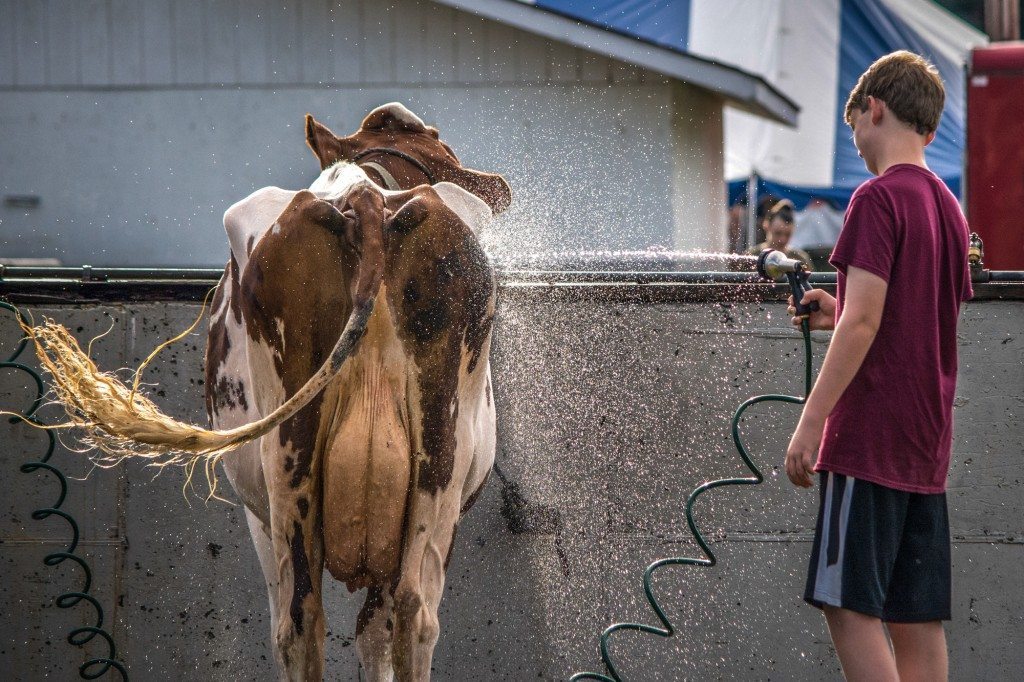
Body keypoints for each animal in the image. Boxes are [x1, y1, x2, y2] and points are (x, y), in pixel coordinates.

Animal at [205, 103, 512, 675]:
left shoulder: (260, 516)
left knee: (305, 618)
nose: (498, 184)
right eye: (437, 140)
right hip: (435, 459)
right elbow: (374, 631)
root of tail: (363, 200)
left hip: (299, 457)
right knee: (405, 613)